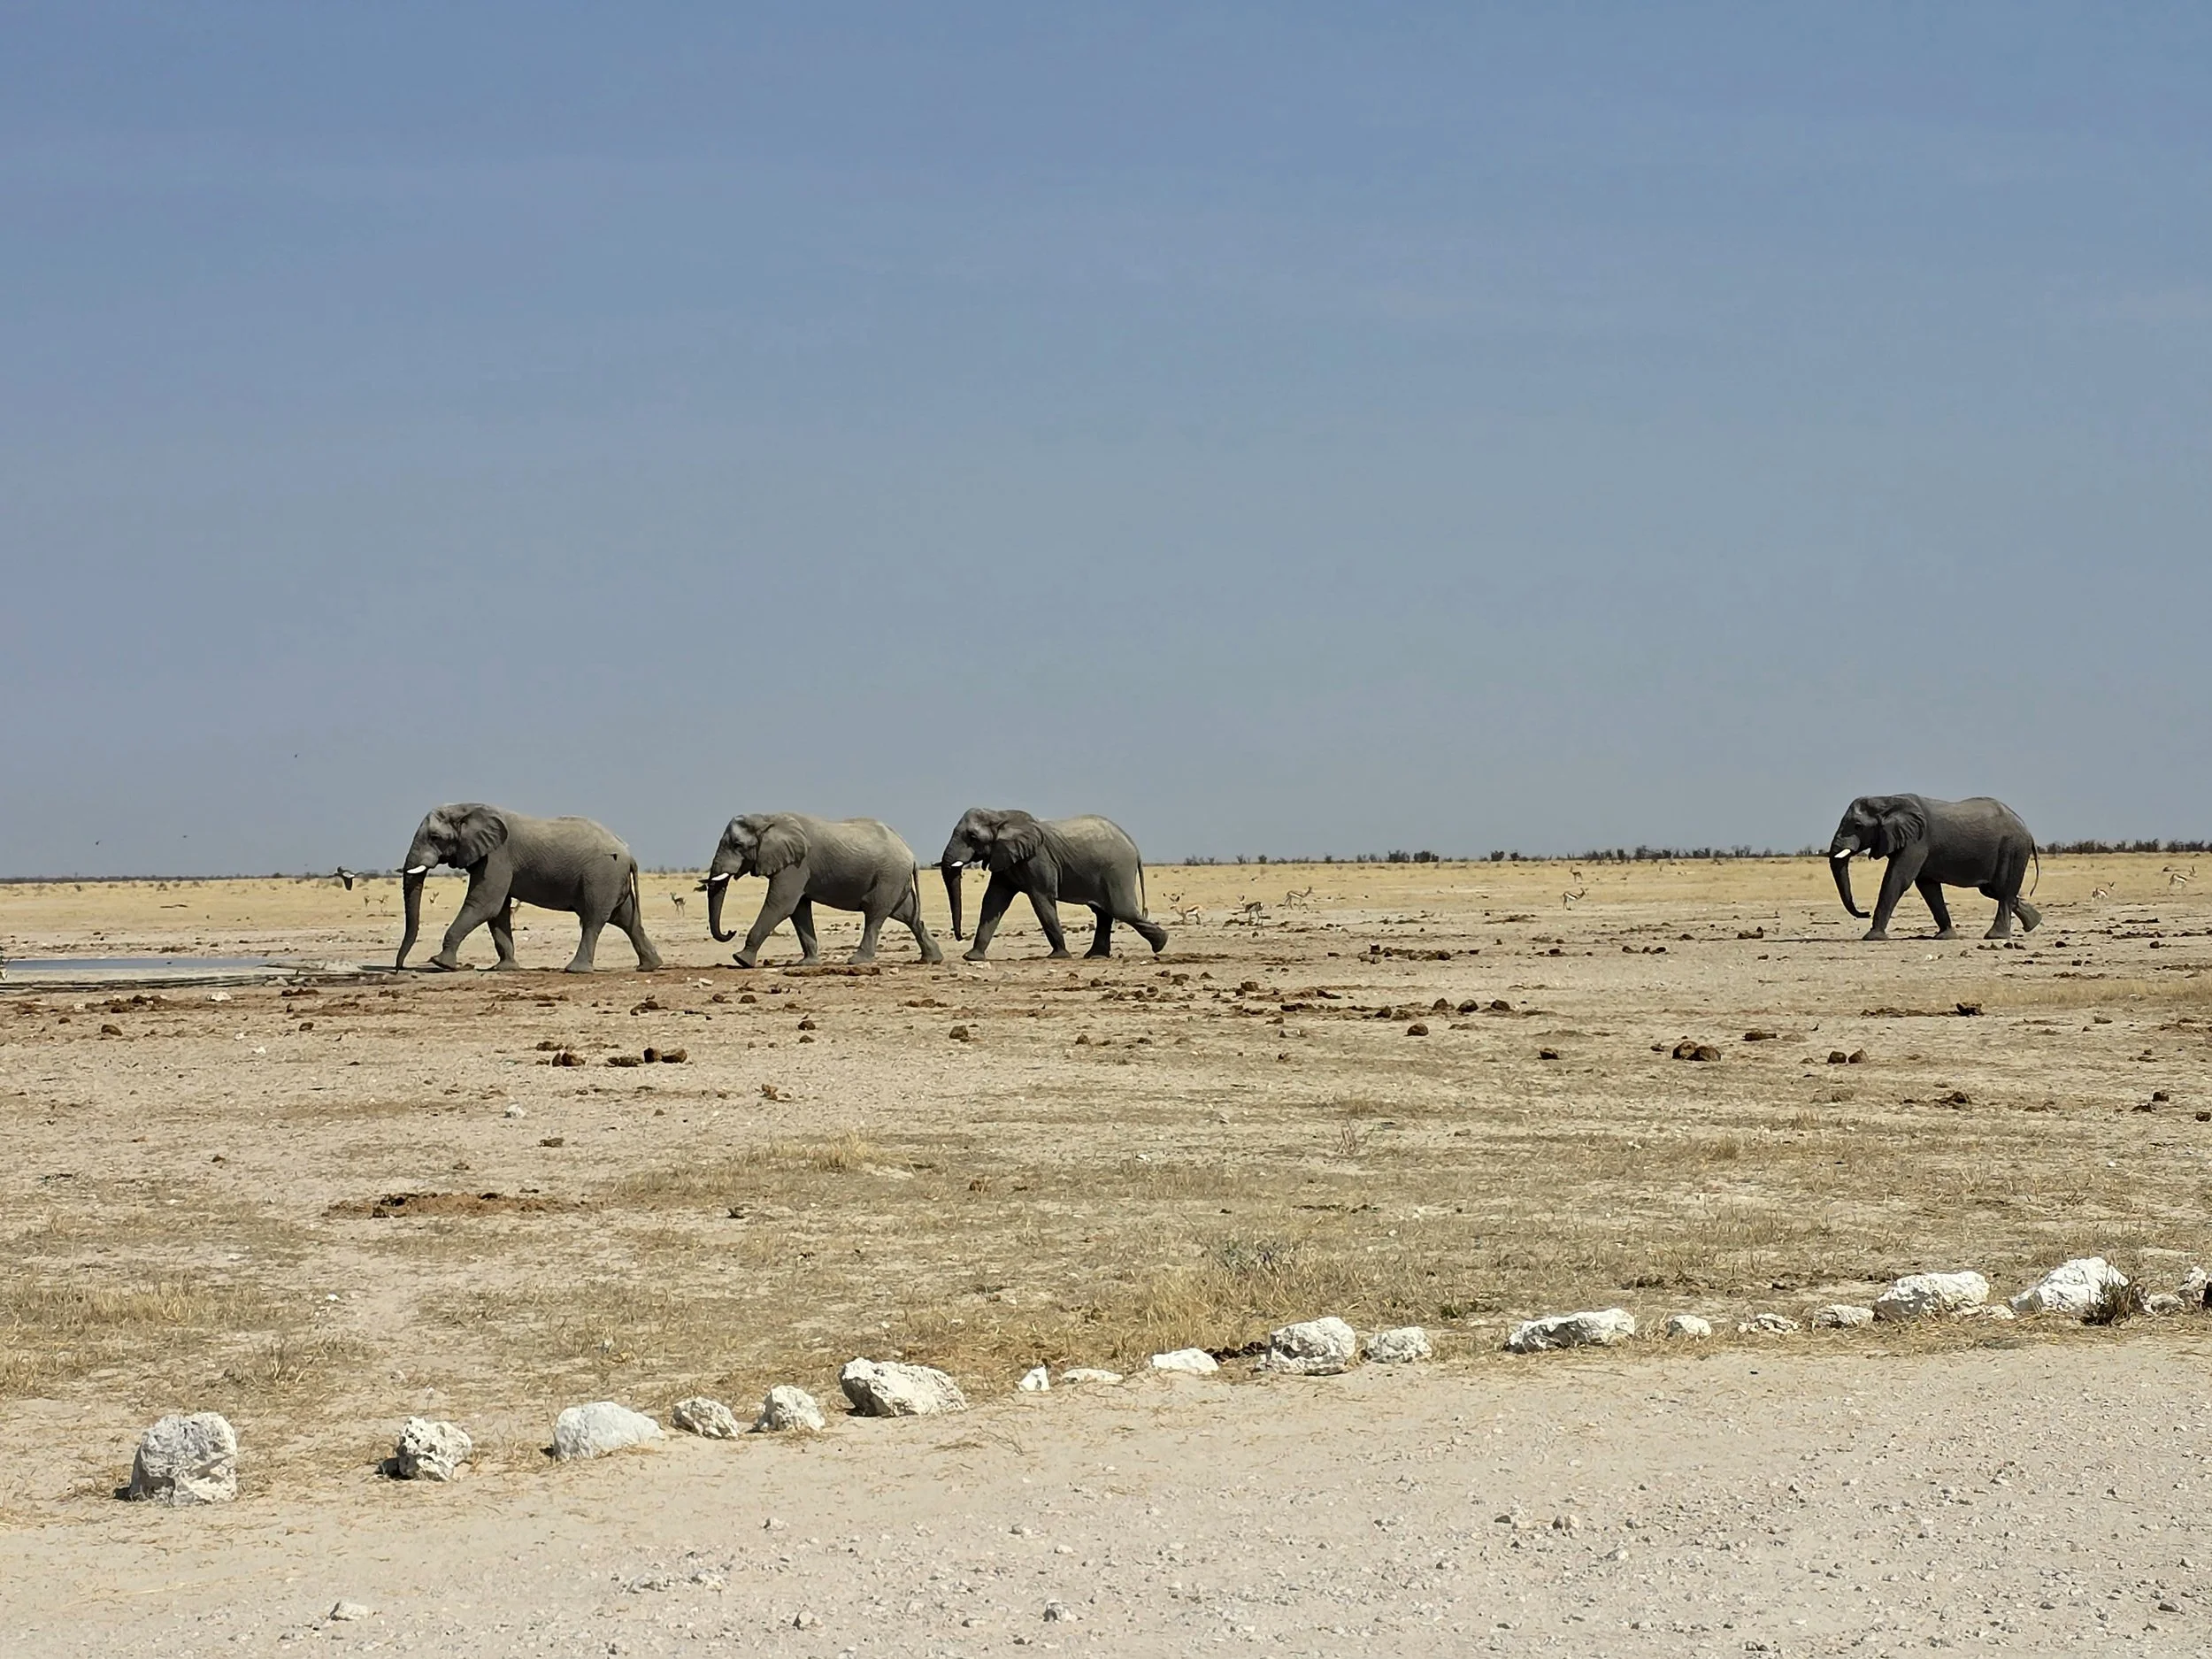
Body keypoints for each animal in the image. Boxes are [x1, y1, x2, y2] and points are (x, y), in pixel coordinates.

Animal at [396, 803, 662, 972]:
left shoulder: (497, 856)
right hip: (612, 879)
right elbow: (498, 911)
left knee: (593, 920)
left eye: (434, 837)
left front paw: (440, 964)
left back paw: (575, 970)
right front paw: (504, 969)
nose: (399, 968)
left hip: (601, 876)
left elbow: (484, 905)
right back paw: (650, 966)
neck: (467, 807)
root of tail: (629, 854)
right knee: (626, 919)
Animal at [704, 813, 941, 967]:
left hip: (889, 876)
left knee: (875, 914)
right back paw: (931, 959)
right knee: (907, 916)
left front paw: (740, 960)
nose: (731, 932)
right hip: (895, 879)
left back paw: (857, 962)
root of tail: (911, 854)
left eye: (737, 845)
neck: (767, 818)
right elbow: (798, 909)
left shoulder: (796, 865)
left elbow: (781, 904)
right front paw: (807, 964)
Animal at [939, 808, 1167, 961]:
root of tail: (1133, 846)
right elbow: (993, 901)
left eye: (972, 837)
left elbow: (1041, 899)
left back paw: (1161, 945)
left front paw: (1059, 956)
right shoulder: (1005, 858)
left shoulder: (1038, 859)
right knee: (1104, 912)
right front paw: (972, 957)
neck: (1001, 815)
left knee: (1121, 910)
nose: (959, 937)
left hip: (1117, 870)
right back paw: (1095, 956)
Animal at [1827, 794, 2042, 941]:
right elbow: (1927, 887)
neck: (1887, 800)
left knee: (2003, 890)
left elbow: (1898, 878)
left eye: (1857, 826)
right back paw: (2034, 923)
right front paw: (1946, 936)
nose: (1865, 913)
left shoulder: (1917, 841)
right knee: (1994, 890)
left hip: (2012, 848)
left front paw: (1873, 937)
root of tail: (2028, 830)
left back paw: (1996, 936)